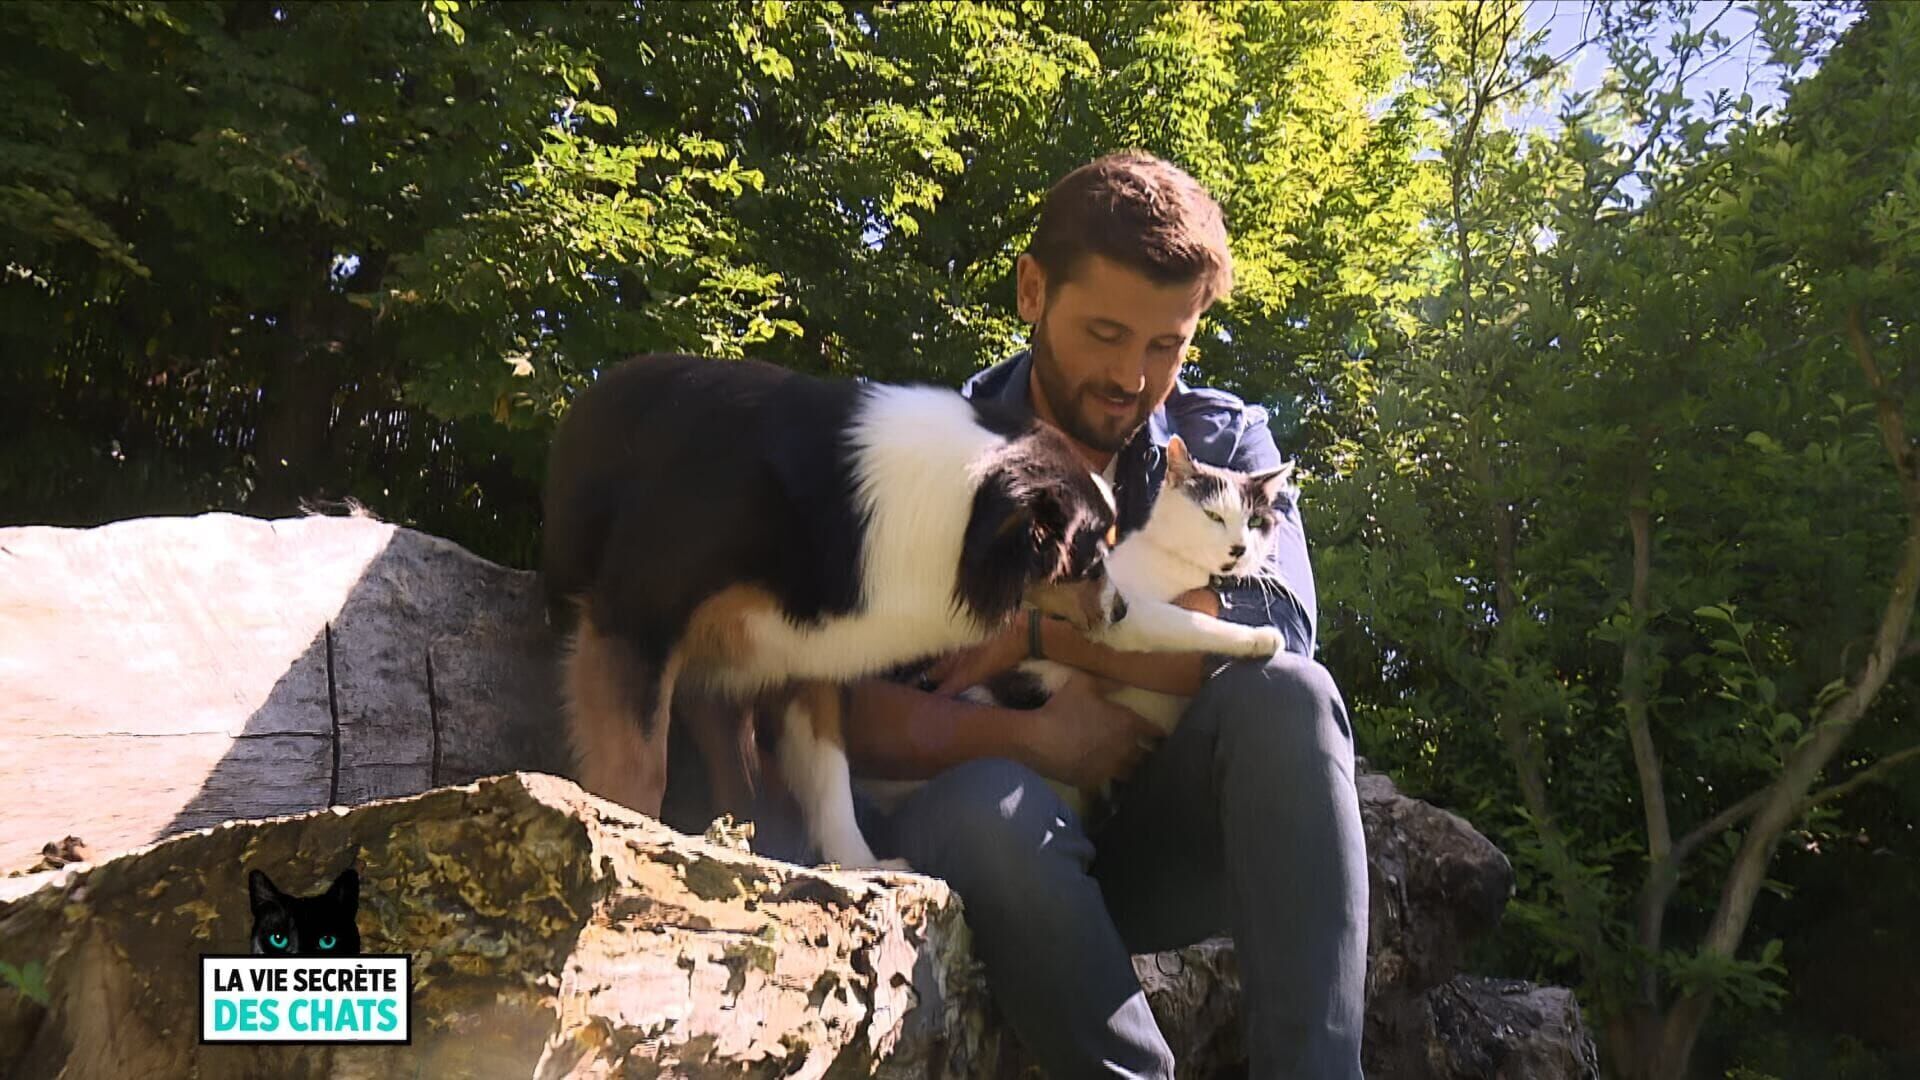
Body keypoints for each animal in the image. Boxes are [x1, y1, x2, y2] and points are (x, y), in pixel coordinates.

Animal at [541, 353, 1126, 868]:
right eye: (1093, 553)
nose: (1121, 610)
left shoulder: (809, 657)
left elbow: (831, 778)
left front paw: (860, 864)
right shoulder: (635, 618)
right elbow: (637, 766)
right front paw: (631, 837)